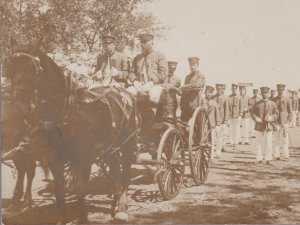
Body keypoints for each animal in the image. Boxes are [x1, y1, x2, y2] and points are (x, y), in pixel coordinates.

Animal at [2, 44, 136, 223]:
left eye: (32, 70)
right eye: (10, 70)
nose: (20, 107)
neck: (67, 112)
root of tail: (124, 93)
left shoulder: (84, 156)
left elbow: (80, 188)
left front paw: (83, 219)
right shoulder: (54, 157)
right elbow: (59, 190)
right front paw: (61, 219)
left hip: (127, 144)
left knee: (126, 174)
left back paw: (122, 208)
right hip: (110, 149)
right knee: (115, 173)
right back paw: (115, 204)